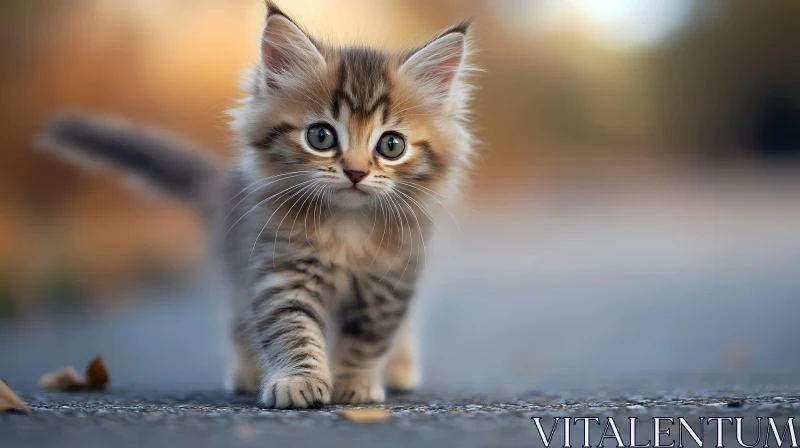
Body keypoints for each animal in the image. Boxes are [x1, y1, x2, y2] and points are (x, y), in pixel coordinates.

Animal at [39, 2, 476, 410]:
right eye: (321, 136)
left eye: (391, 145)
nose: (355, 172)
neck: (346, 227)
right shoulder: (280, 264)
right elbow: (292, 328)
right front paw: (300, 381)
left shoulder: (389, 280)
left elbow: (369, 337)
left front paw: (354, 382)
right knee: (239, 322)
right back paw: (248, 373)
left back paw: (400, 369)